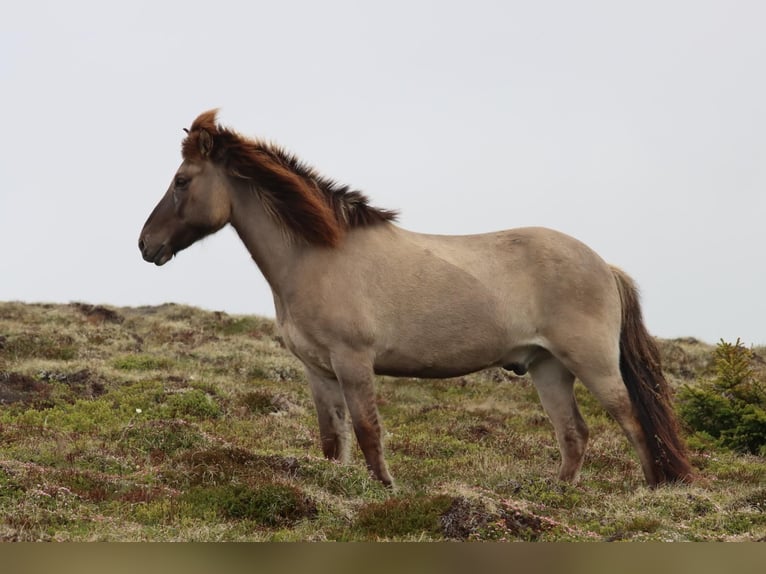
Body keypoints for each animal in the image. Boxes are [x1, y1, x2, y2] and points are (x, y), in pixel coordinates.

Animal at [139, 110, 693, 488]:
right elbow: (332, 439)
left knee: (633, 421)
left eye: (182, 181)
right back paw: (558, 495)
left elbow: (367, 431)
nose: (146, 245)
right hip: (547, 366)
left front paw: (385, 490)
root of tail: (604, 265)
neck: (319, 255)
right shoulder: (319, 370)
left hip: (592, 362)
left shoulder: (353, 362)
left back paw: (651, 490)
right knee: (574, 433)